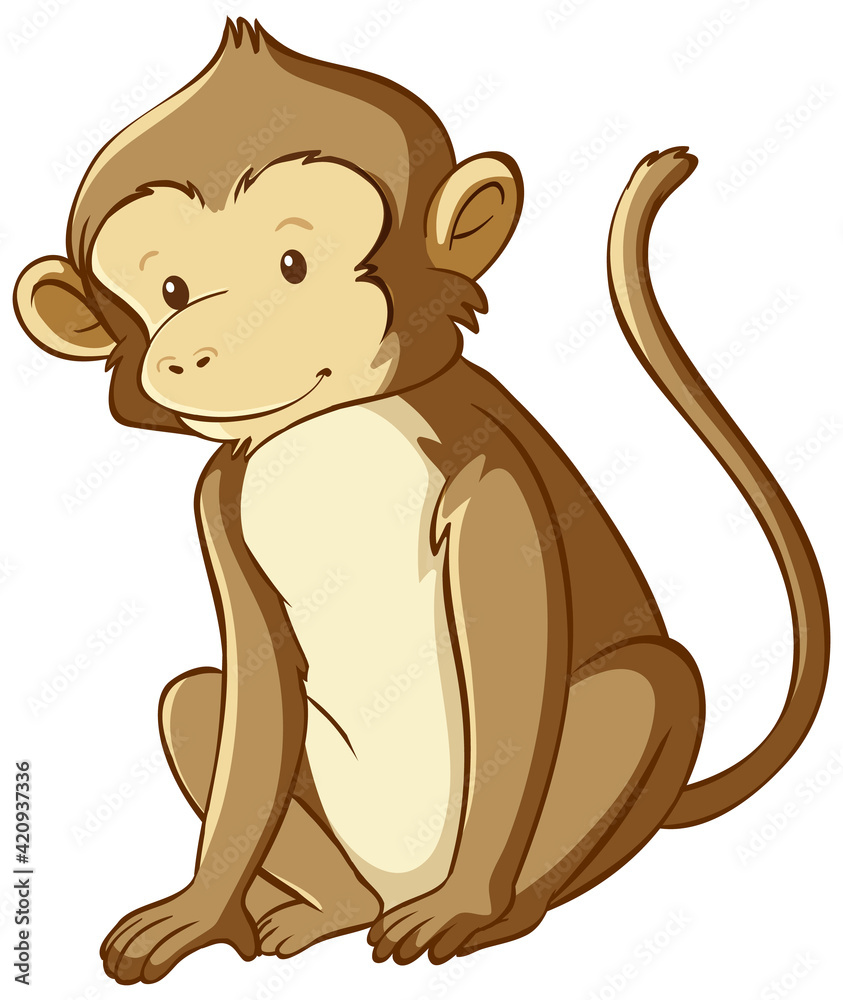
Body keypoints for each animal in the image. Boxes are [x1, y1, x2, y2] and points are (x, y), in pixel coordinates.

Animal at [13, 18, 828, 985]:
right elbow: (251, 694)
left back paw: (493, 915)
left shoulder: (486, 468)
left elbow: (514, 658)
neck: (328, 425)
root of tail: (394, 887)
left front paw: (470, 905)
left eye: (292, 263)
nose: (195, 347)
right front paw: (200, 910)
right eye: (170, 290)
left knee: (644, 688)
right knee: (194, 699)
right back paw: (327, 909)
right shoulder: (216, 501)